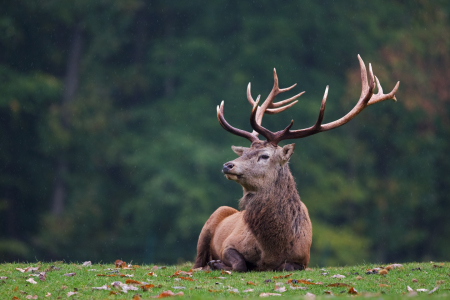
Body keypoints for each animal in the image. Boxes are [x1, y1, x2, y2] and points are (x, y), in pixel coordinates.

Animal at [192, 54, 398, 272]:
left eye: (264, 156)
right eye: (245, 151)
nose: (227, 165)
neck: (272, 249)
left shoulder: (302, 259)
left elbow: (285, 266)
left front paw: (218, 263)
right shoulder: (230, 243)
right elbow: (240, 263)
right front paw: (216, 263)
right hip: (212, 220)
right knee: (197, 261)